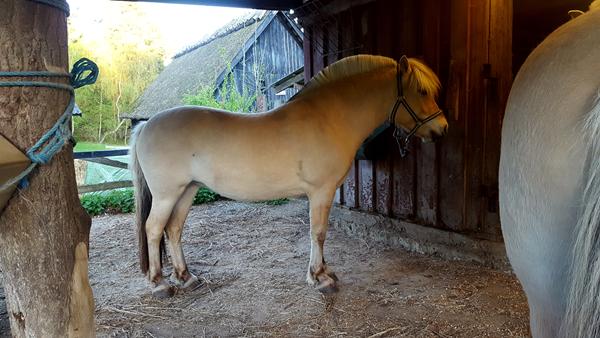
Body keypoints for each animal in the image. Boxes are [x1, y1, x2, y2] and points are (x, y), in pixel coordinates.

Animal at [131, 54, 450, 298]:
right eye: (422, 91)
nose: (442, 129)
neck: (330, 118)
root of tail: (146, 126)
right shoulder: (321, 191)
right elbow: (318, 232)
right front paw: (320, 277)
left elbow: (319, 232)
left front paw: (324, 271)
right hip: (167, 194)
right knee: (153, 229)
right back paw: (159, 284)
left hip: (188, 190)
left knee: (173, 229)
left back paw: (185, 277)